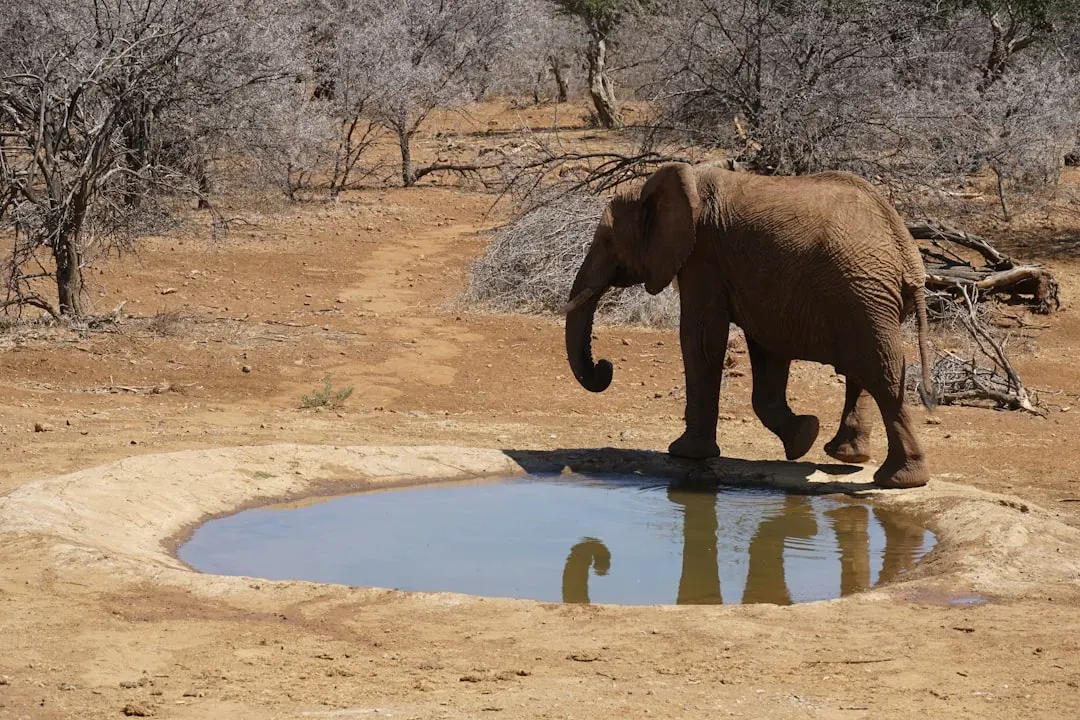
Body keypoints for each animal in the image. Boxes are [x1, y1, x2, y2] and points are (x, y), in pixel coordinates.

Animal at [563, 162, 936, 489]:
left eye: (607, 240)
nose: (605, 367)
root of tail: (908, 255)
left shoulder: (703, 257)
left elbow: (700, 338)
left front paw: (684, 454)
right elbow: (767, 350)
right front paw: (803, 437)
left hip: (861, 293)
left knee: (881, 371)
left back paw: (899, 480)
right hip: (864, 299)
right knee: (863, 370)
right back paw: (847, 456)